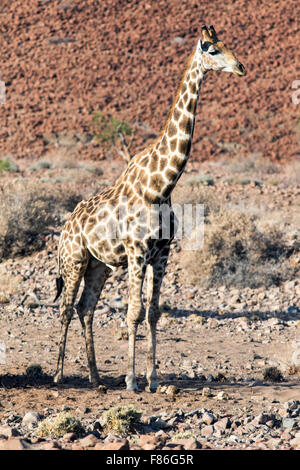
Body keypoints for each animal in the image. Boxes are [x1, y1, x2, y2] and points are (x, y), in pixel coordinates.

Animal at [53, 25, 246, 392]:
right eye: (212, 50)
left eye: (229, 45)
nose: (241, 67)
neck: (162, 185)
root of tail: (66, 226)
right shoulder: (136, 251)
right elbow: (133, 313)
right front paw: (131, 380)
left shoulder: (162, 253)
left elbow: (154, 313)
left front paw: (153, 377)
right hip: (74, 260)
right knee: (67, 308)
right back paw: (57, 375)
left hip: (99, 265)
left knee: (86, 308)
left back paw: (95, 377)